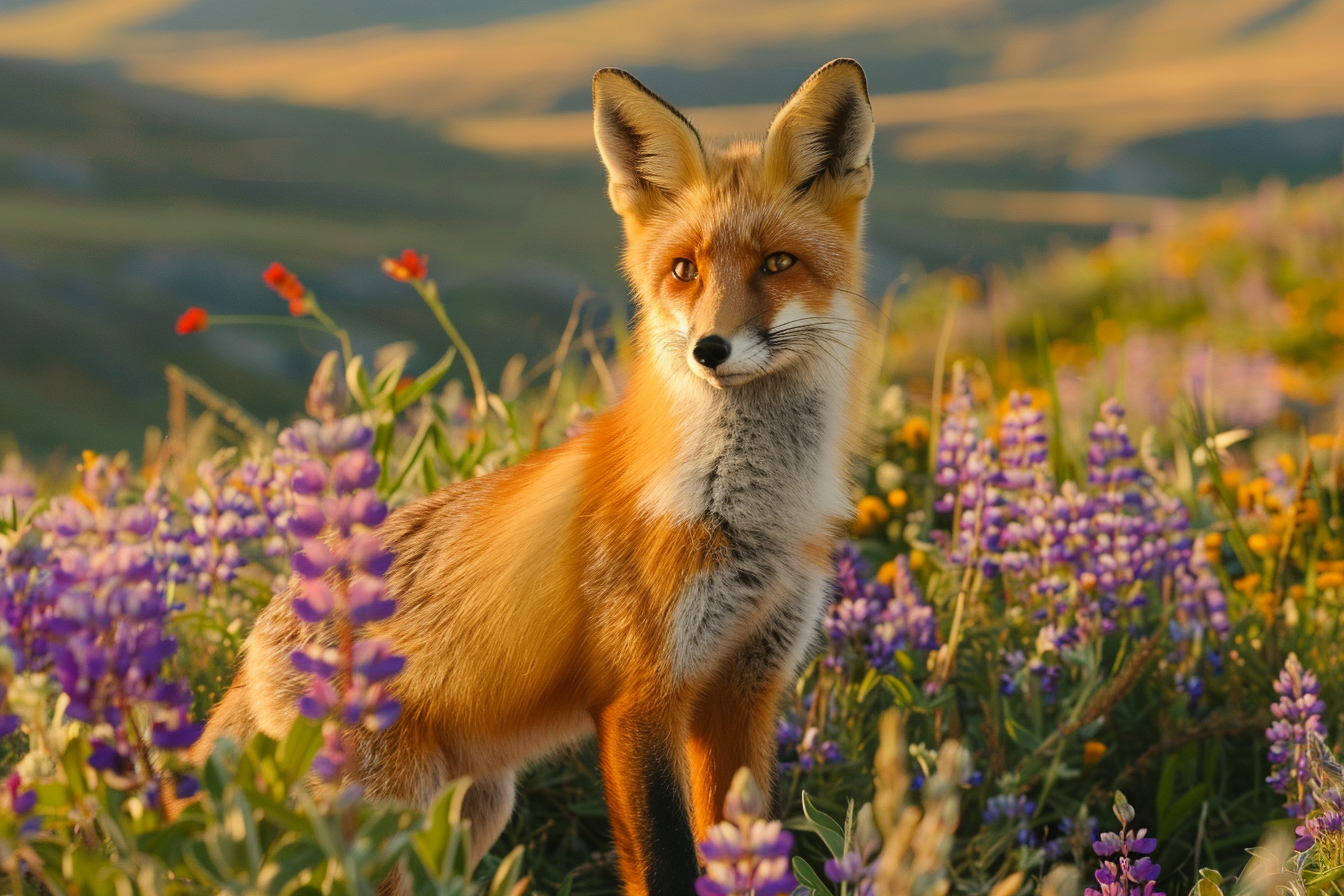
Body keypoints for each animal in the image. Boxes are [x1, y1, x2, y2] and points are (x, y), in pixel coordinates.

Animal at [194, 58, 877, 894]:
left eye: (778, 263)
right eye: (683, 270)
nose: (709, 350)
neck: (748, 517)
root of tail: (258, 633)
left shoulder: (746, 688)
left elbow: (741, 853)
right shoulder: (637, 698)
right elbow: (667, 863)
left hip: (476, 811)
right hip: (390, 821)